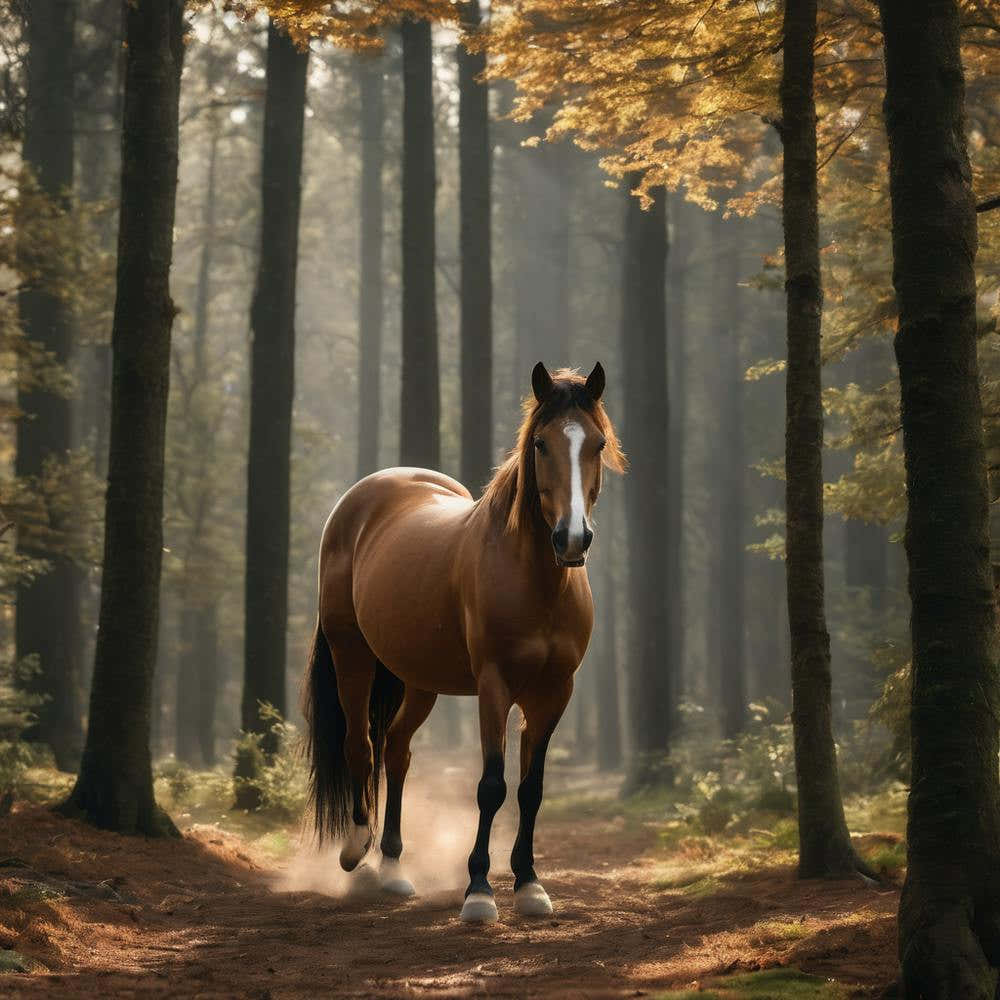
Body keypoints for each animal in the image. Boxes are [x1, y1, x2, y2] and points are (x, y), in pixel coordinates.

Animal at [303, 362, 624, 923]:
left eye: (598, 443)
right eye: (540, 443)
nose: (572, 539)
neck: (536, 583)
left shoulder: (554, 693)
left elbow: (532, 789)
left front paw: (530, 885)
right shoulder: (494, 688)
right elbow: (492, 786)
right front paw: (478, 891)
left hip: (419, 681)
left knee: (396, 750)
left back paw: (393, 869)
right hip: (352, 657)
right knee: (360, 746)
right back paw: (356, 855)